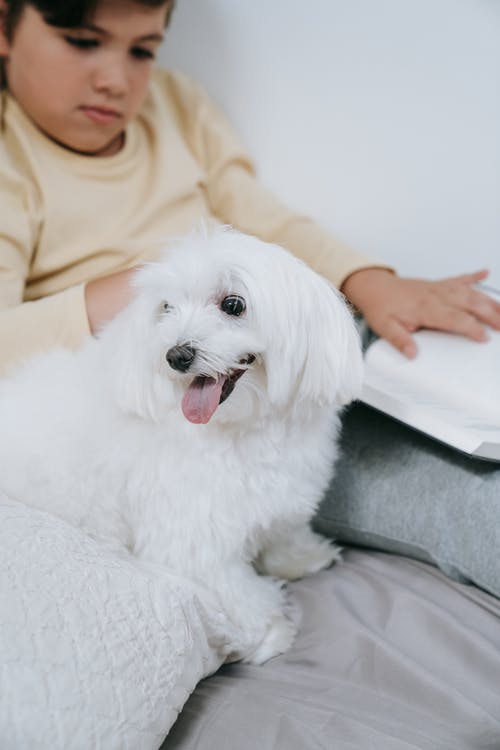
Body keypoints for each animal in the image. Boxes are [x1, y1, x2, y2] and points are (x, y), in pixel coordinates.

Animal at [0, 228, 362, 664]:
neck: (243, 428)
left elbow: (283, 530)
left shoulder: (283, 494)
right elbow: (236, 590)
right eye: (166, 308)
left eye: (233, 304)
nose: (176, 355)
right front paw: (270, 630)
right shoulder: (192, 541)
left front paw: (301, 557)